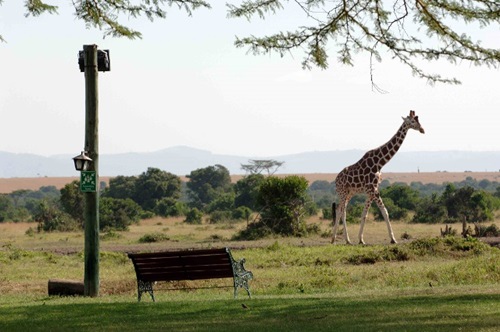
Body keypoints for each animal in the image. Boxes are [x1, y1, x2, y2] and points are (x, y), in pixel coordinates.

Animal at [334, 111, 424, 244]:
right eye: (412, 121)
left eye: (419, 120)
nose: (422, 129)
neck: (379, 163)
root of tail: (335, 180)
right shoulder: (373, 190)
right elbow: (383, 212)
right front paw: (392, 239)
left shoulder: (372, 190)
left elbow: (368, 214)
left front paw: (361, 239)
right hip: (343, 192)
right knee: (342, 211)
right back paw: (346, 240)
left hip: (350, 193)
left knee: (338, 209)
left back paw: (333, 239)